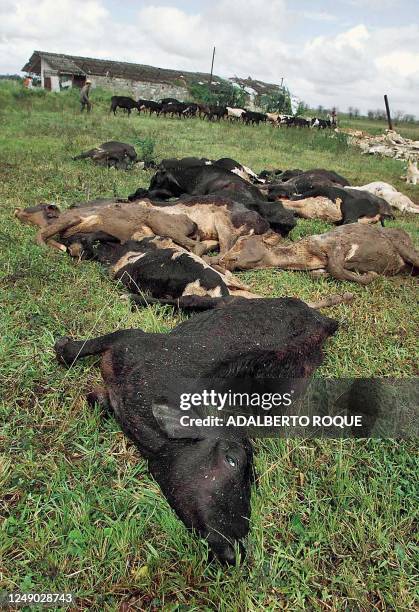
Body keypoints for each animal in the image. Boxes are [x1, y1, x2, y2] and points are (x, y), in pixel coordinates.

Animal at [218, 225, 418, 284]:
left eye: (242, 241)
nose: (222, 259)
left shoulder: (337, 245)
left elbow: (337, 269)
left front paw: (371, 275)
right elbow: (321, 273)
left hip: (403, 246)